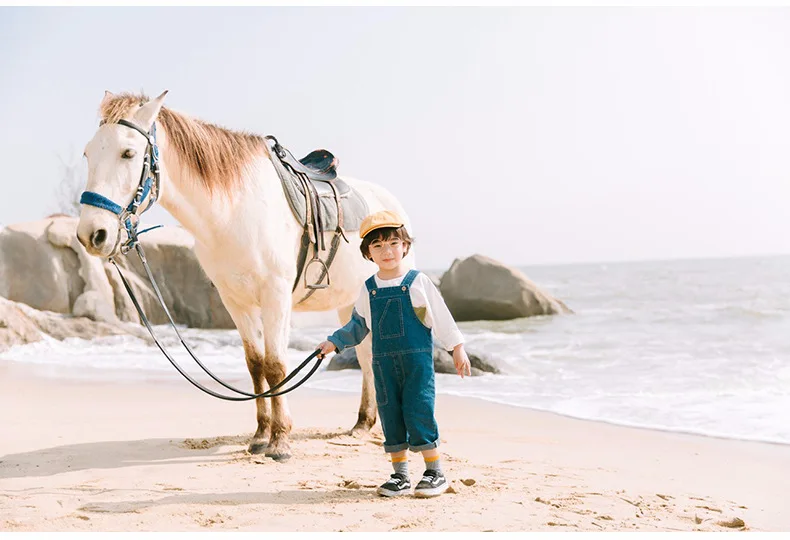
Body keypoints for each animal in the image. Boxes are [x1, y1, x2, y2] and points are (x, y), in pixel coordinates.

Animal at [77, 92, 414, 460]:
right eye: (88, 153)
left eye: (128, 153)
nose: (91, 234)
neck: (234, 211)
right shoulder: (235, 301)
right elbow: (256, 365)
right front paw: (261, 435)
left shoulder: (275, 296)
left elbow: (276, 365)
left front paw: (280, 441)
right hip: (349, 300)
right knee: (365, 355)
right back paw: (363, 423)